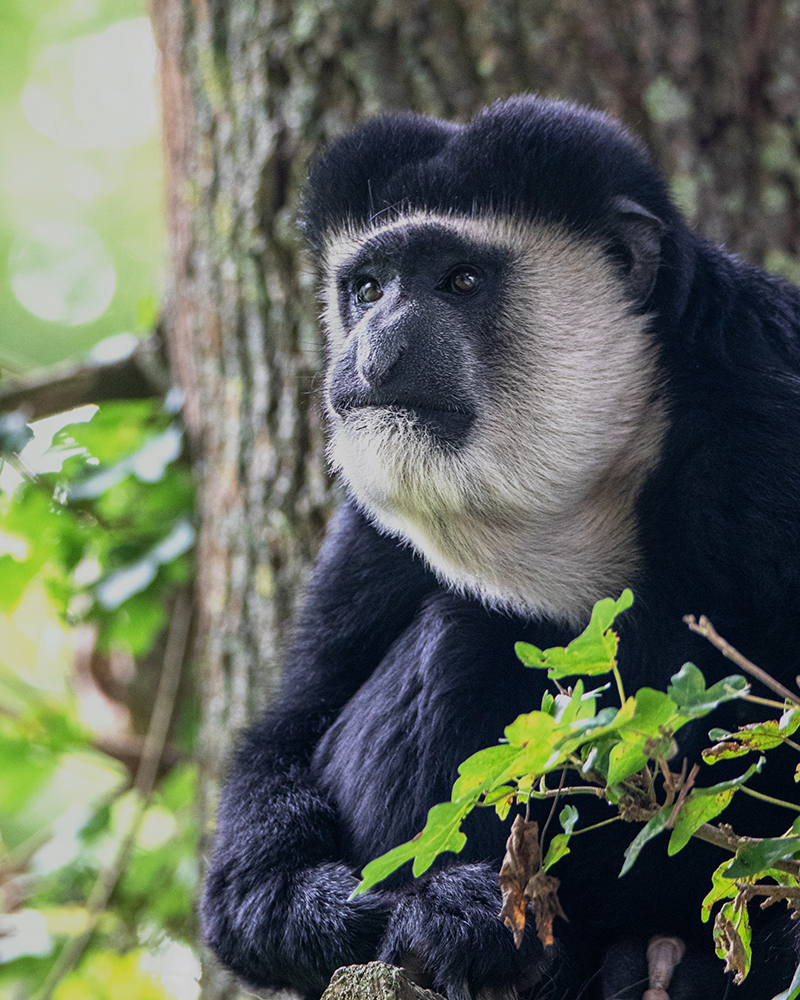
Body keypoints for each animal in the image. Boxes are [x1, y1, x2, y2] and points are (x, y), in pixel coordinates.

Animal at [198, 95, 800, 1000]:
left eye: (462, 280)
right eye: (368, 288)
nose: (374, 348)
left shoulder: (765, 413)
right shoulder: (370, 518)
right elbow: (291, 726)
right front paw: (377, 911)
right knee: (464, 632)